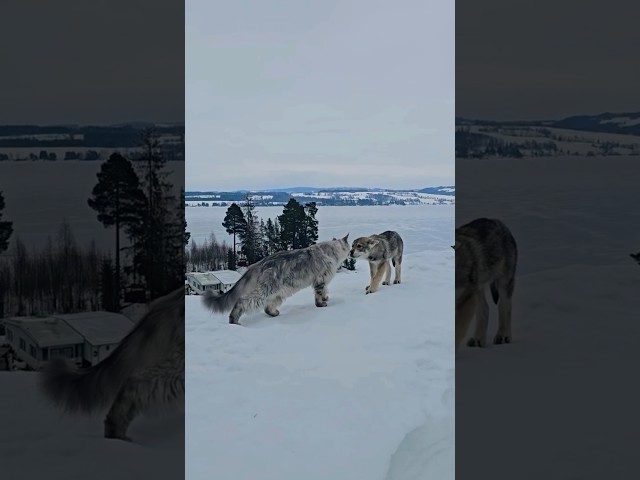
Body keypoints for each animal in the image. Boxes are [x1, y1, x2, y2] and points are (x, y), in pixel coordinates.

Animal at [203, 234, 351, 324]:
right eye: (349, 246)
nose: (351, 252)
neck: (331, 251)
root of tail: (259, 263)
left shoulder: (323, 281)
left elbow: (325, 291)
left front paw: (326, 298)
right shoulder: (320, 279)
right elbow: (319, 294)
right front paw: (321, 304)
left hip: (279, 292)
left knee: (267, 307)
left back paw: (274, 313)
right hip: (267, 289)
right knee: (243, 301)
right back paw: (234, 321)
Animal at [454, 218, 517, 351]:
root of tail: (498, 222)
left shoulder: (466, 297)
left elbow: (458, 330)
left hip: (503, 284)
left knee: (505, 307)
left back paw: (503, 336)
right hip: (479, 289)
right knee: (485, 309)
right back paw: (478, 340)